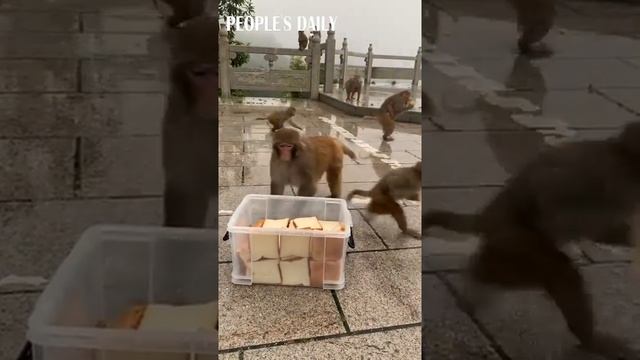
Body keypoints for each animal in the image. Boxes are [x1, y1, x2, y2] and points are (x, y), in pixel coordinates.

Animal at [424, 122, 640, 358]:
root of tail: (490, 212)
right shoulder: (615, 180)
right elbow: (557, 208)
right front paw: (627, 236)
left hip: (508, 239)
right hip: (518, 236)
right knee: (559, 270)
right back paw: (590, 339)